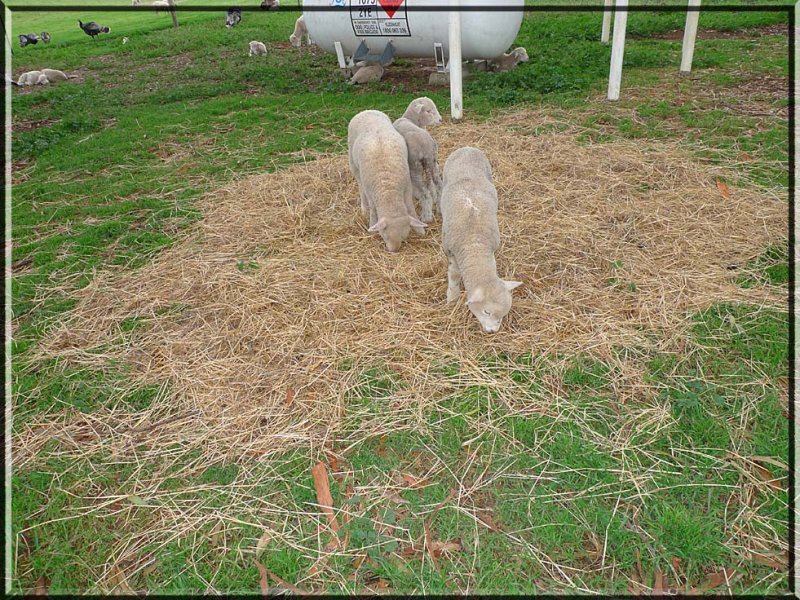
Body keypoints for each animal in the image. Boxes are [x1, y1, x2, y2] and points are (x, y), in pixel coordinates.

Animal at [346, 109, 428, 252]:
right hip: (353, 163)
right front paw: (371, 226)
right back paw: (364, 208)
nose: (393, 250)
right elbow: (373, 210)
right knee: (360, 186)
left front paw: (420, 230)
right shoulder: (371, 191)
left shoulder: (407, 188)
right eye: (385, 235)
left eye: (403, 236)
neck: (388, 188)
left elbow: (410, 207)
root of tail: (367, 110)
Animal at [440, 145, 520, 332]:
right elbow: (454, 275)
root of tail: (467, 147)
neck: (474, 243)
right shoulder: (450, 251)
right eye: (486, 311)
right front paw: (452, 298)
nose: (493, 331)